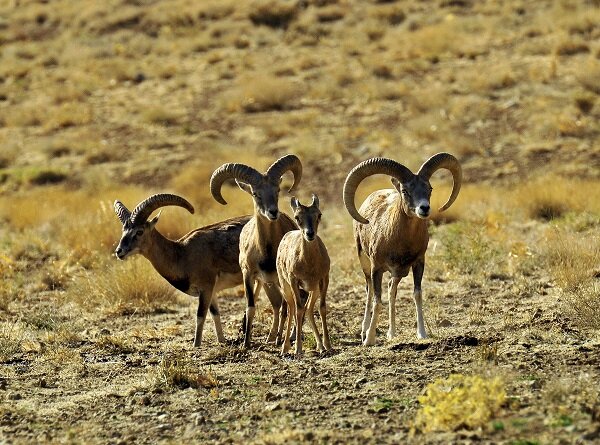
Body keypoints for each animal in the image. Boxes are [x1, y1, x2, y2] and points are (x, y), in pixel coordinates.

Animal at [112, 193, 248, 348]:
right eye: (123, 231)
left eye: (139, 231)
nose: (119, 252)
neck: (182, 254)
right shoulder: (211, 291)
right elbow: (215, 314)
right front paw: (222, 341)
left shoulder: (206, 287)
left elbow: (200, 315)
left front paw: (196, 345)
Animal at [212, 154, 304, 348]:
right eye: (255, 193)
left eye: (277, 189)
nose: (273, 212)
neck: (266, 251)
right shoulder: (248, 275)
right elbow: (251, 307)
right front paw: (246, 343)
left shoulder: (280, 277)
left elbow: (286, 307)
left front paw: (281, 340)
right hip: (267, 283)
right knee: (278, 304)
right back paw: (271, 337)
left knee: (291, 303)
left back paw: (284, 337)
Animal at [278, 194, 332, 354]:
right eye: (297, 217)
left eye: (319, 214)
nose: (310, 234)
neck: (309, 264)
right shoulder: (294, 281)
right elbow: (298, 310)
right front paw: (298, 350)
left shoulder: (324, 279)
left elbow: (322, 308)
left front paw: (328, 345)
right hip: (285, 286)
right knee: (291, 308)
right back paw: (285, 347)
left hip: (314, 290)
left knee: (308, 308)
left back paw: (320, 346)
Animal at [342, 152, 464, 344]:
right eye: (405, 191)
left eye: (429, 188)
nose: (424, 208)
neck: (399, 241)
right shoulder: (376, 268)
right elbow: (377, 300)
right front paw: (369, 339)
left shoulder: (418, 264)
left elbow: (417, 294)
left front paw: (422, 334)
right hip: (365, 263)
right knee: (369, 291)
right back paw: (364, 331)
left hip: (397, 274)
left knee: (392, 290)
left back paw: (391, 333)